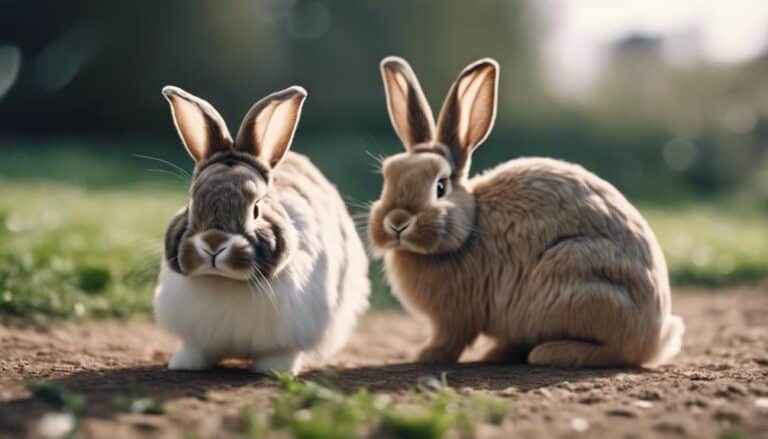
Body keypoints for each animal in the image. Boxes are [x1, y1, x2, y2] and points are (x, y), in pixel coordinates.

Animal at [154, 85, 369, 374]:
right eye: (190, 204)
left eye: (256, 209)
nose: (213, 243)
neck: (225, 281)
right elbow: (196, 349)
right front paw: (184, 364)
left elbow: (280, 353)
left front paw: (274, 370)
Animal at [368, 56, 684, 367]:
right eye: (387, 177)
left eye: (440, 186)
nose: (397, 222)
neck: (469, 229)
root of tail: (655, 338)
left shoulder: (455, 317)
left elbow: (450, 339)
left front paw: (427, 356)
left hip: (574, 281)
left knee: (617, 352)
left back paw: (548, 353)